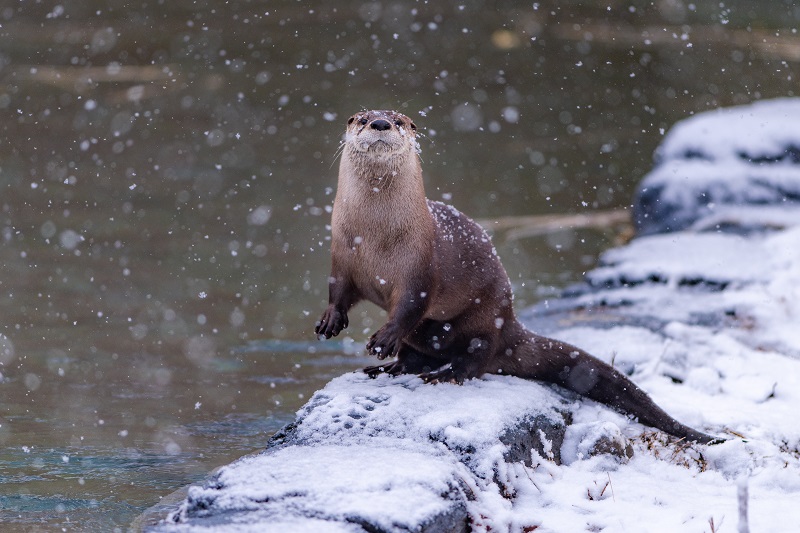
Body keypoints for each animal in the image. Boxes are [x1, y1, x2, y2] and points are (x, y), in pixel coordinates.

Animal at [316, 110, 720, 442]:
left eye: (400, 120)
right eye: (361, 118)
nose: (380, 123)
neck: (374, 237)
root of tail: (511, 322)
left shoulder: (420, 267)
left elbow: (409, 306)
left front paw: (382, 339)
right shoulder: (341, 253)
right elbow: (338, 290)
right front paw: (330, 321)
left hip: (485, 318)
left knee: (476, 357)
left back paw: (443, 373)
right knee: (417, 357)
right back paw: (388, 368)